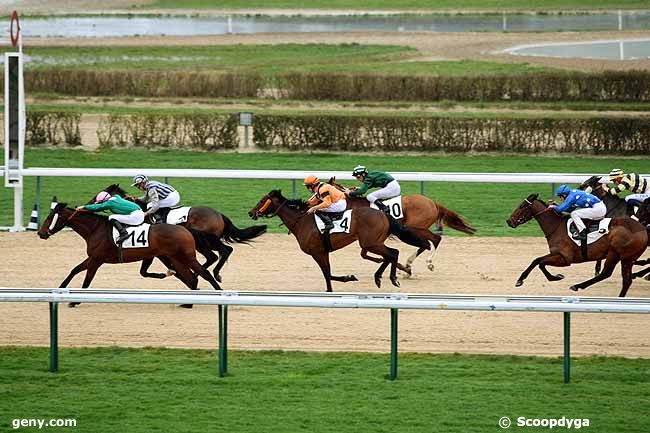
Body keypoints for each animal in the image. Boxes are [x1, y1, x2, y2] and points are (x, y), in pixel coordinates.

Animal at [38, 204, 220, 306]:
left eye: (49, 217)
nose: (41, 233)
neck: (95, 229)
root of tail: (185, 229)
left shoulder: (97, 259)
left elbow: (87, 280)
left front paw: (75, 300)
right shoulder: (93, 257)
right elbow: (75, 269)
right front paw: (60, 288)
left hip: (186, 256)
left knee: (204, 273)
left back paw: (218, 294)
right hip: (176, 258)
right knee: (192, 278)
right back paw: (188, 303)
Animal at [101, 182, 264, 280]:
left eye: (104, 193)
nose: (95, 199)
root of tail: (219, 215)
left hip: (203, 240)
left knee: (221, 252)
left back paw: (212, 274)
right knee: (217, 254)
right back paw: (202, 273)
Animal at [248, 189, 436, 290]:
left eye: (262, 200)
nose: (251, 212)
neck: (301, 221)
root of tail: (383, 213)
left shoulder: (318, 252)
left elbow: (328, 274)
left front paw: (348, 278)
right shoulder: (322, 251)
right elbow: (328, 275)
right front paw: (333, 288)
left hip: (371, 242)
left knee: (393, 253)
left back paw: (390, 278)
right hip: (372, 241)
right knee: (390, 255)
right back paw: (385, 275)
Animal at [326, 177, 474, 272]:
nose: (315, 204)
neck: (354, 205)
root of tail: (433, 202)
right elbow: (365, 253)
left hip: (415, 226)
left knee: (434, 239)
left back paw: (428, 263)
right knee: (425, 244)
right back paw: (409, 264)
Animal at [506, 193, 648, 296]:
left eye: (522, 206)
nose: (509, 221)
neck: (557, 227)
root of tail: (643, 229)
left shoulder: (565, 258)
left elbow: (541, 263)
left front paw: (555, 277)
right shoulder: (556, 254)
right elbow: (536, 260)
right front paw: (521, 280)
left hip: (615, 253)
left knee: (606, 273)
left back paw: (577, 286)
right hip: (628, 258)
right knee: (626, 280)